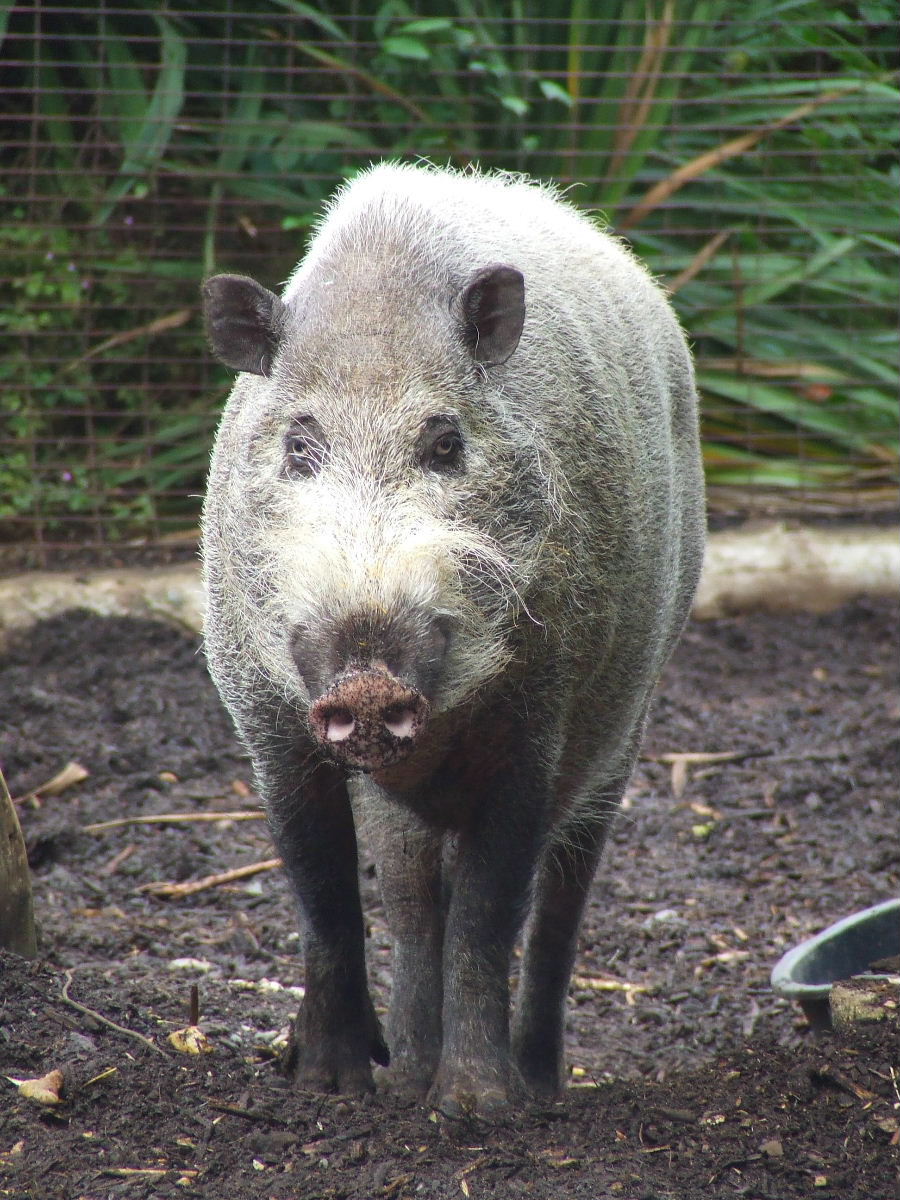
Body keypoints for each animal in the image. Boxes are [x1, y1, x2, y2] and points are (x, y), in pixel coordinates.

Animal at [200, 162, 705, 1114]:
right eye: (298, 446)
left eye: (445, 442)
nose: (366, 679)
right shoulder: (264, 719)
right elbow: (324, 892)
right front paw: (331, 1090)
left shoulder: (538, 718)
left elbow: (490, 908)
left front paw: (475, 1110)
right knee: (406, 897)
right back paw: (403, 1075)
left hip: (628, 722)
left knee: (559, 910)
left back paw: (537, 1088)